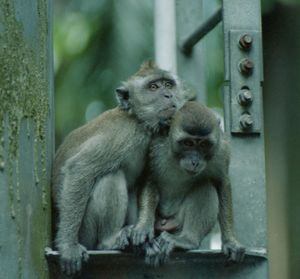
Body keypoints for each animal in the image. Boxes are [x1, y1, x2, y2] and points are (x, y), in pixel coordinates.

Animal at [50, 60, 185, 276]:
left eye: (168, 85)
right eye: (154, 87)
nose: (169, 95)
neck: (139, 120)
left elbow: (149, 179)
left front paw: (143, 228)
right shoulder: (122, 135)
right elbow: (80, 168)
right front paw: (68, 247)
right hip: (86, 233)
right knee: (110, 177)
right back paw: (108, 241)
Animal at [126, 102, 246, 266]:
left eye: (204, 144)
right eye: (188, 143)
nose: (195, 161)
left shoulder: (221, 151)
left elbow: (222, 183)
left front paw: (230, 241)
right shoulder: (155, 146)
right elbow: (149, 178)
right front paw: (143, 226)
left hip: (177, 223)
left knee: (205, 185)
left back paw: (187, 240)